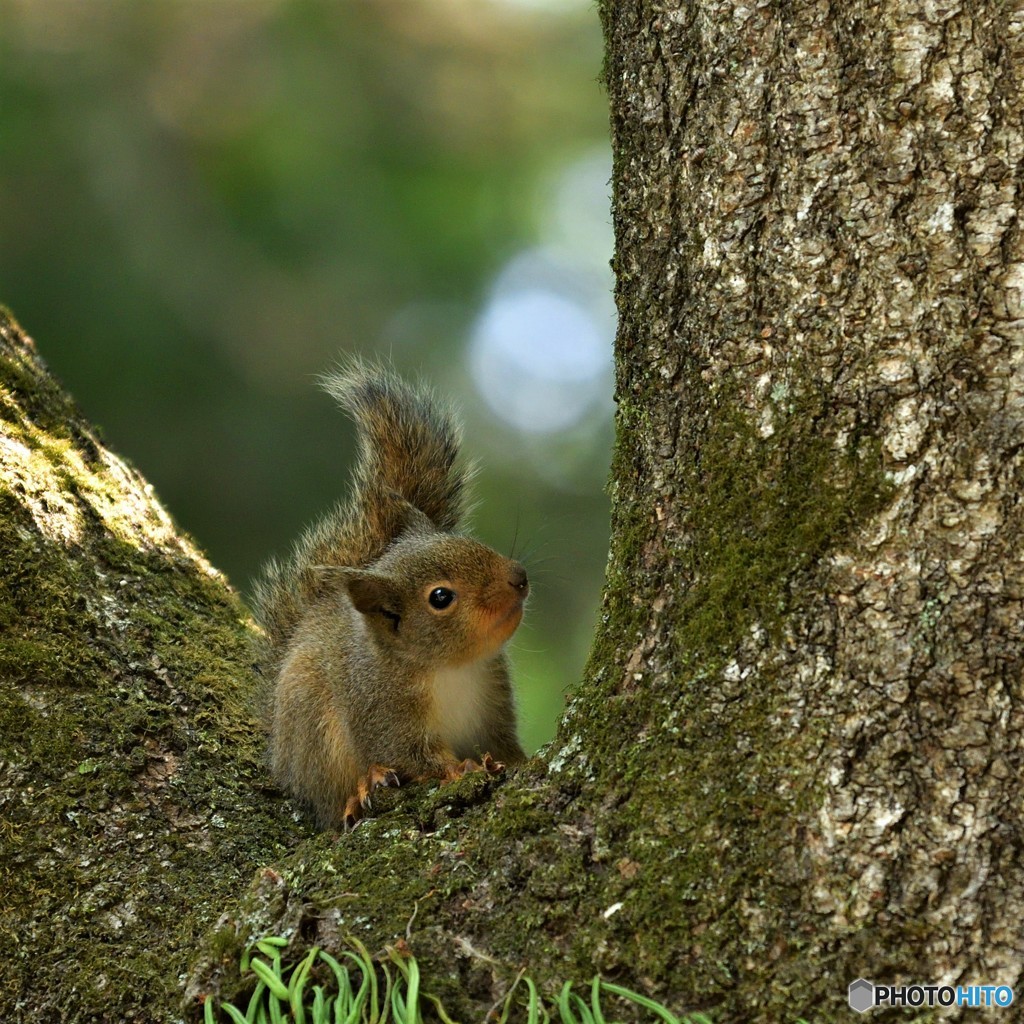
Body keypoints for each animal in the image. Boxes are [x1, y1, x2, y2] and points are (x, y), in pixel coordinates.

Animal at [253, 364, 528, 827]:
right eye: (440, 598)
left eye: (470, 542)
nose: (519, 578)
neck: (448, 668)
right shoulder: (381, 710)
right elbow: (412, 755)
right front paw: (460, 768)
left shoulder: (491, 703)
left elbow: (503, 744)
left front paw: (513, 762)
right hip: (314, 733)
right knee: (330, 802)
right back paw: (361, 789)